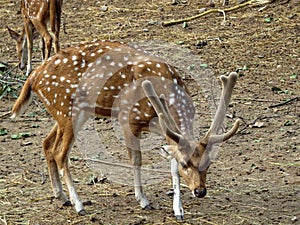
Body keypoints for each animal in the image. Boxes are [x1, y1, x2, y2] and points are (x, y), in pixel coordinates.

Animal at [9, 40, 239, 220]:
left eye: (209, 163)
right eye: (186, 164)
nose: (200, 191)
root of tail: (33, 78)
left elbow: (170, 163)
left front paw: (178, 211)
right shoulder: (127, 118)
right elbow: (137, 160)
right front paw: (143, 200)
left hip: (65, 113)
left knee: (47, 143)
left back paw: (62, 197)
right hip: (67, 110)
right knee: (60, 154)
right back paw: (78, 204)